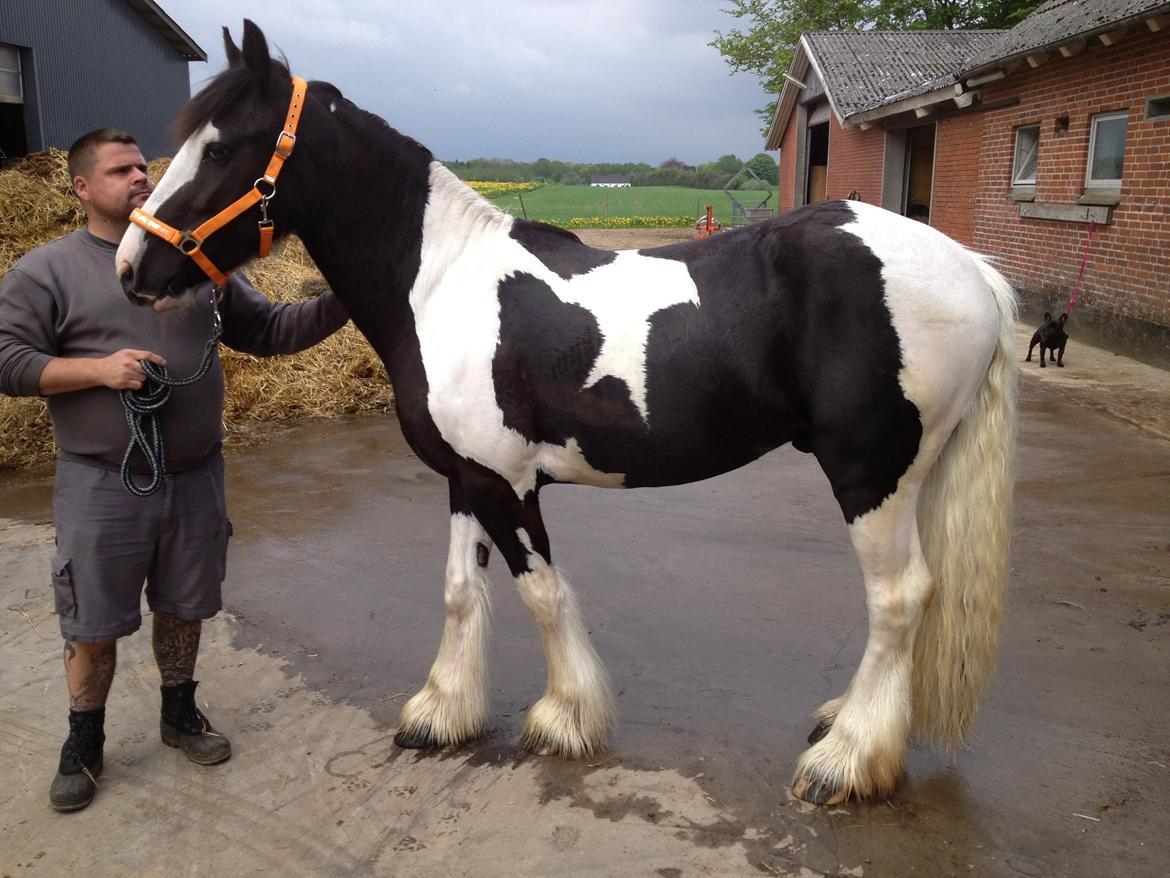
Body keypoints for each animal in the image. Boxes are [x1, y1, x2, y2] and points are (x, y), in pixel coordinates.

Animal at [114, 20, 1020, 810]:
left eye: (220, 147)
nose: (131, 267)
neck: (441, 283)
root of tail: (969, 268)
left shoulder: (508, 483)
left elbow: (543, 594)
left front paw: (566, 719)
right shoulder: (466, 478)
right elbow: (458, 591)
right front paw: (441, 713)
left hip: (870, 471)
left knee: (899, 597)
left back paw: (847, 760)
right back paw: (848, 721)